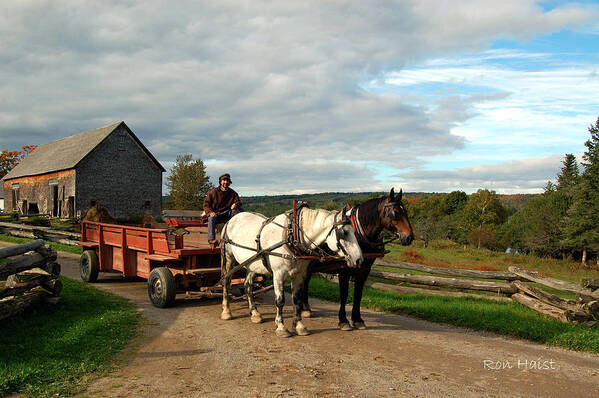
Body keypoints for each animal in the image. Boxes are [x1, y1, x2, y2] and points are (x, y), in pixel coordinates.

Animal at [219, 208, 364, 336]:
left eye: (354, 232)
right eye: (344, 232)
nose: (359, 260)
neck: (291, 236)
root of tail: (231, 220)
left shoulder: (299, 275)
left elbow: (297, 300)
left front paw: (299, 326)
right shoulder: (278, 274)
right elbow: (280, 301)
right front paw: (281, 327)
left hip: (252, 264)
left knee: (248, 285)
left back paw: (255, 313)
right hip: (228, 258)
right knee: (226, 281)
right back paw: (226, 311)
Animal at [302, 189, 414, 330]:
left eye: (405, 211)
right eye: (395, 212)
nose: (409, 237)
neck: (360, 235)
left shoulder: (364, 270)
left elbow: (358, 294)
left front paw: (357, 319)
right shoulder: (344, 270)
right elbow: (344, 294)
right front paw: (343, 320)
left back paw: (305, 308)